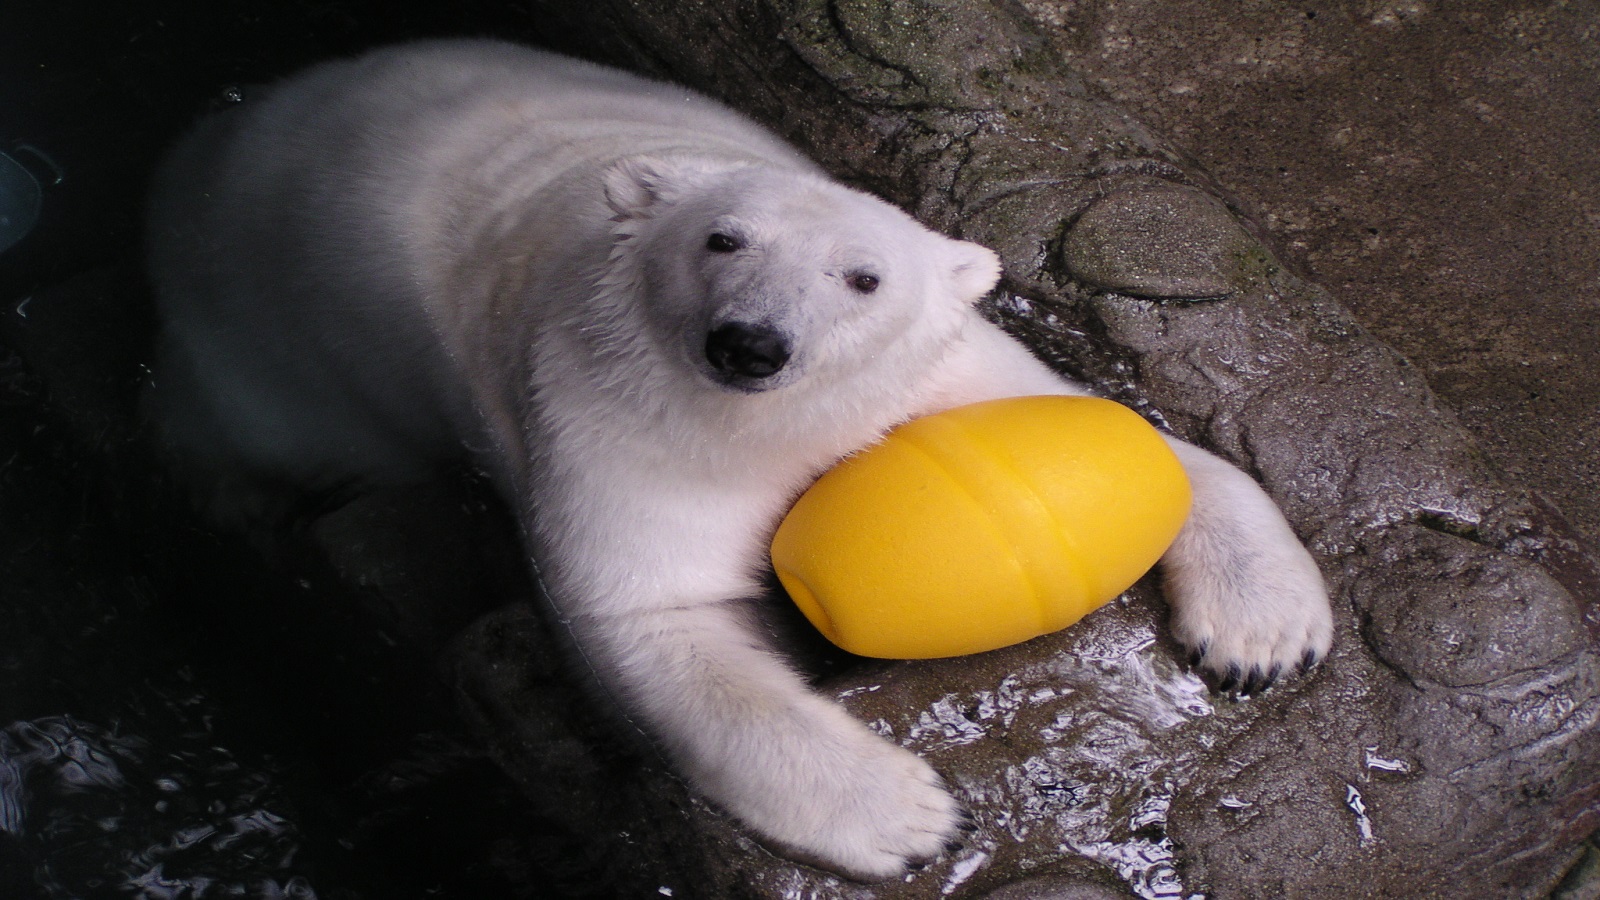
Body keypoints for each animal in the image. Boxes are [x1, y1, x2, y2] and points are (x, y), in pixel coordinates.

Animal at [147, 40, 1324, 877]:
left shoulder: (929, 377)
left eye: (863, 277)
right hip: (261, 342)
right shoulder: (608, 405)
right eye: (723, 240)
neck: (778, 420)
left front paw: (1262, 639)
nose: (750, 344)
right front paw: (911, 816)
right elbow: (655, 611)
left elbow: (1140, 448)